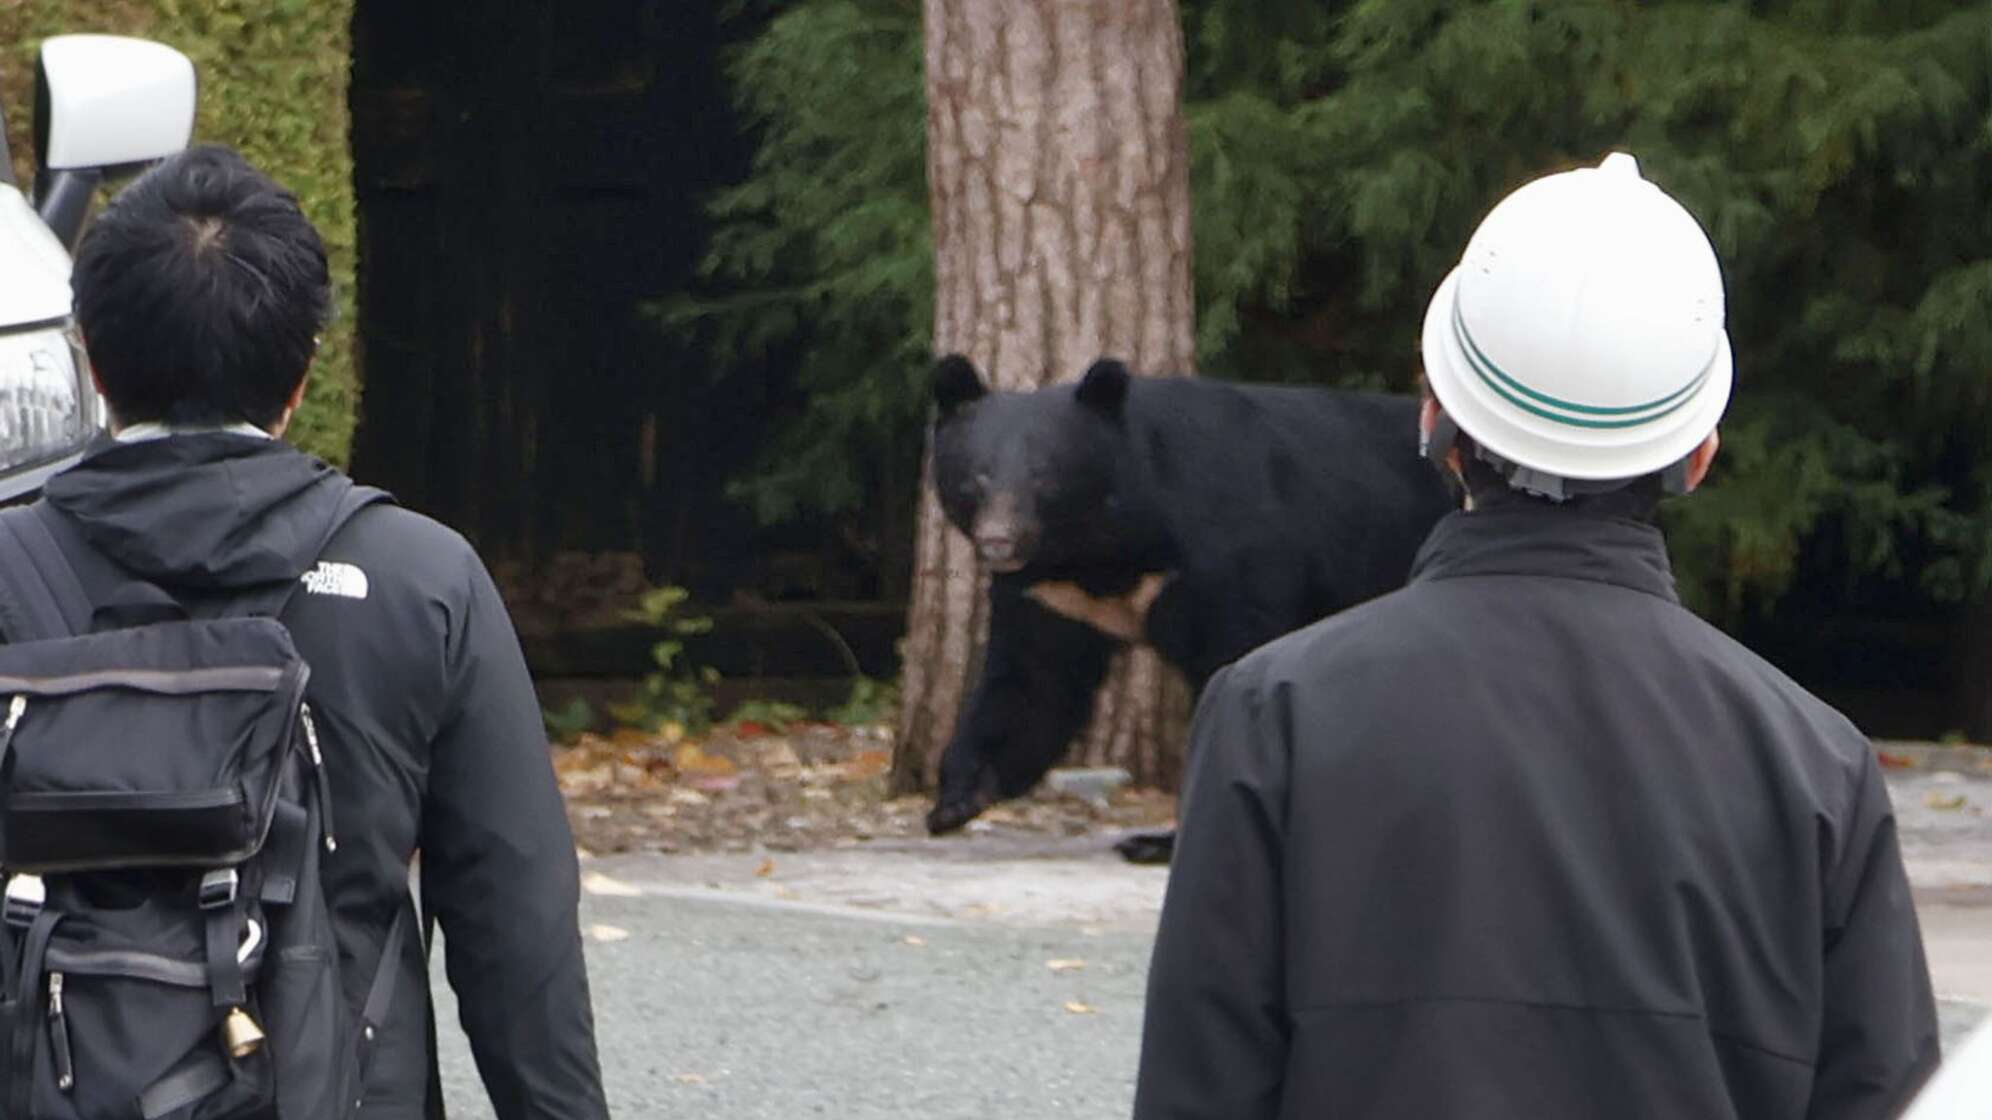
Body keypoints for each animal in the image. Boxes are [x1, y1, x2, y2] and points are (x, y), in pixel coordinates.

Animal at [923, 353, 1458, 861]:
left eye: (1044, 477)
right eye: (976, 476)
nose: (999, 541)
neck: (1103, 549)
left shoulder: (1221, 556)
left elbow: (1234, 660)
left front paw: (1161, 840)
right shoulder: (1053, 595)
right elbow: (1033, 682)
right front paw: (957, 798)